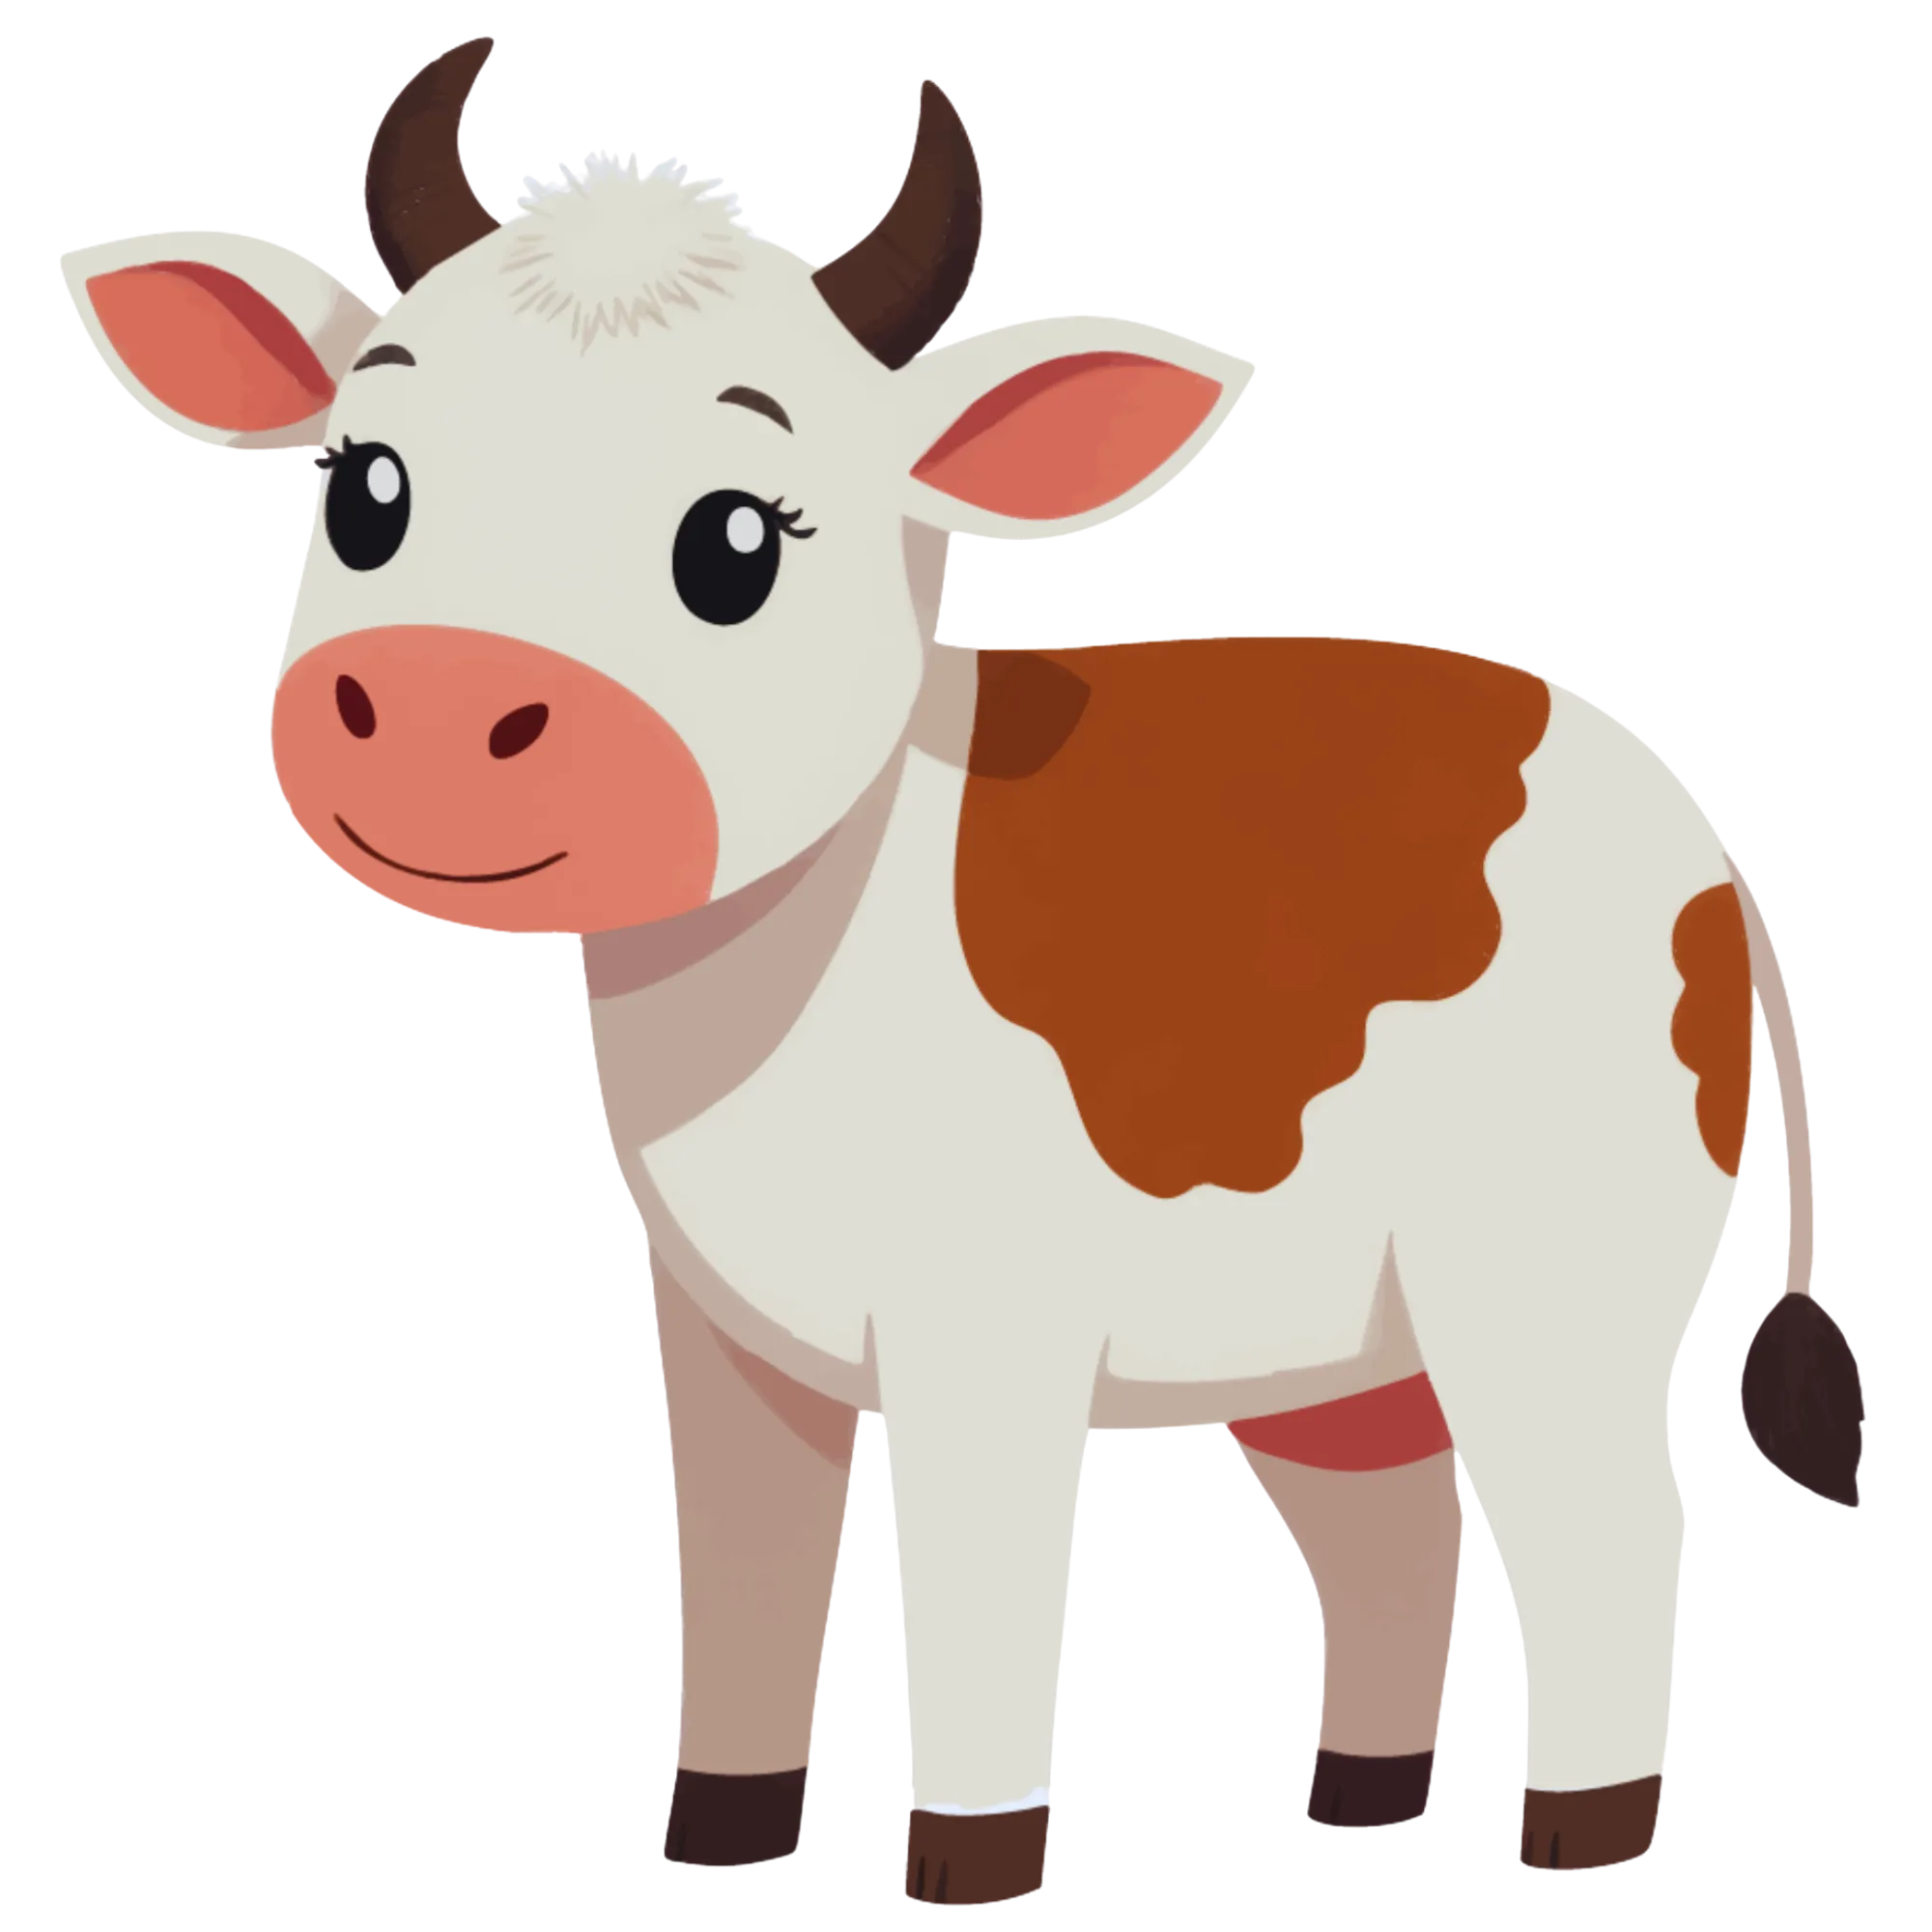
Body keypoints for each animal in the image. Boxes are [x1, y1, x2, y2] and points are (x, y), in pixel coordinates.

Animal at [56, 34, 1864, 1909]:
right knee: (1390, 1509)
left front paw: (971, 1860)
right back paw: (1360, 1795)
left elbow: (977, 1571)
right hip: (1347, 1334)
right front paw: (721, 1835)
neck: (785, 995)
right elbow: (747, 1566)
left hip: (1555, 1267)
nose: (429, 703)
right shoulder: (720, 1332)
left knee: (1613, 1516)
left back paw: (1587, 1826)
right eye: (368, 490)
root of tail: (1701, 839)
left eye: (737, 542)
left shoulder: (989, 1313)